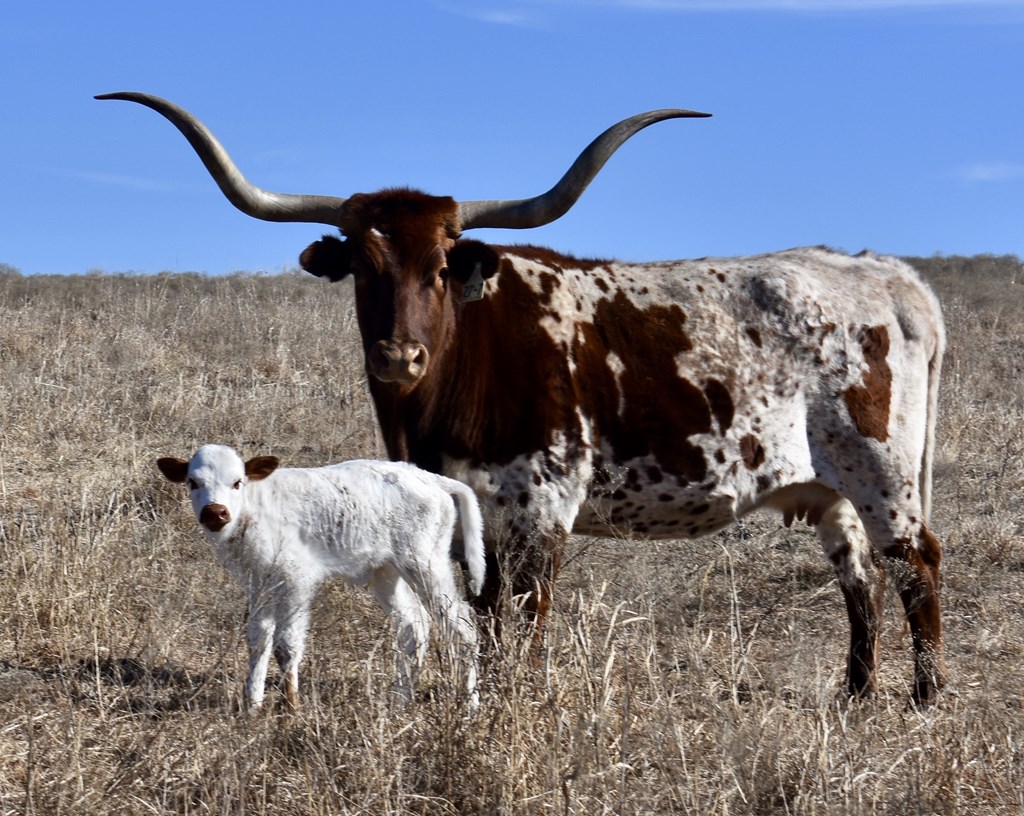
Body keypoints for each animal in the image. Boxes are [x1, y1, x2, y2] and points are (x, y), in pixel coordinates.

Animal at [156, 444, 485, 710]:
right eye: (193, 482)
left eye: (237, 482)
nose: (215, 512)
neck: (256, 507)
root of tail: (429, 478)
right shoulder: (258, 585)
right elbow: (258, 640)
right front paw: (252, 704)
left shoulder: (296, 582)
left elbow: (286, 645)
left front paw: (291, 706)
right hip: (386, 572)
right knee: (412, 627)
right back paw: (400, 700)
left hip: (426, 564)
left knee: (462, 626)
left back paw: (470, 704)